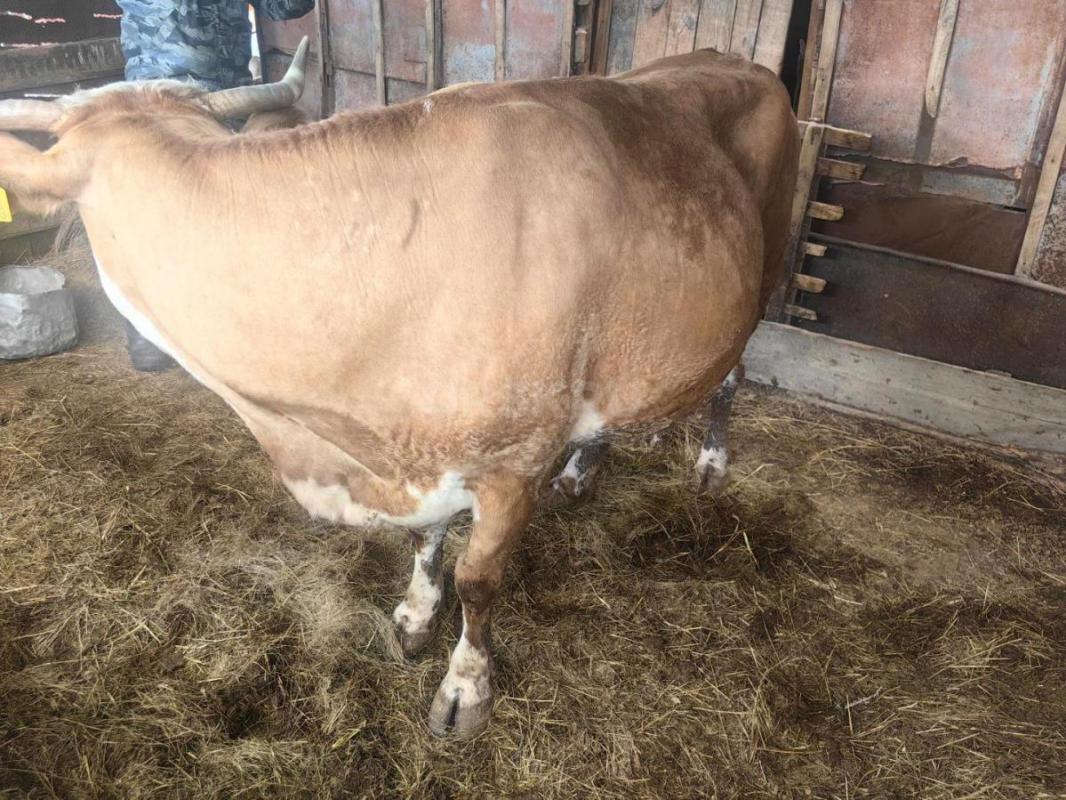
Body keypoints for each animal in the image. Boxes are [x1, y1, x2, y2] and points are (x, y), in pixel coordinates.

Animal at [0, 37, 798, 738]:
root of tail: (732, 58)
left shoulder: (512, 464)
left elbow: (480, 582)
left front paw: (465, 688)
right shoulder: (417, 452)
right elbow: (425, 539)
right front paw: (416, 613)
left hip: (756, 289)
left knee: (734, 376)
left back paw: (710, 463)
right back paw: (584, 468)